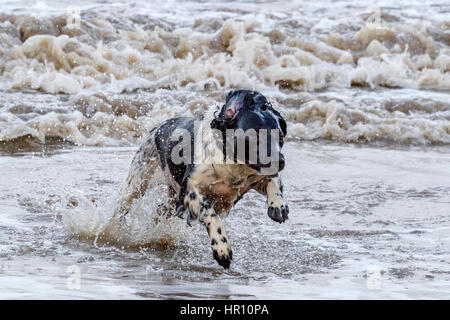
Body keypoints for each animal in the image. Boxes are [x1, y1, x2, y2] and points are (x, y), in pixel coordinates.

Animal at [113, 89, 288, 268]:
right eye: (253, 137)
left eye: (280, 137)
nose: (280, 161)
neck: (231, 162)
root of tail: (157, 128)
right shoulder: (190, 189)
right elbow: (209, 212)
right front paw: (222, 248)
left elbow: (273, 182)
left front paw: (278, 206)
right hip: (135, 184)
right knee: (122, 208)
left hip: (172, 199)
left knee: (162, 210)